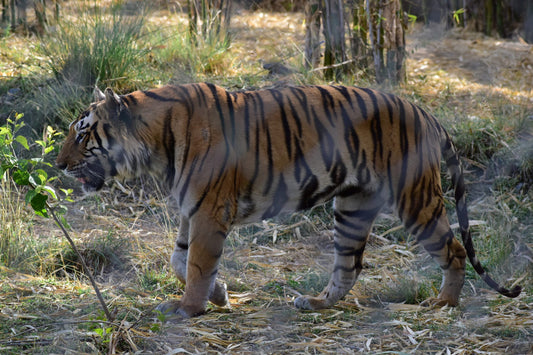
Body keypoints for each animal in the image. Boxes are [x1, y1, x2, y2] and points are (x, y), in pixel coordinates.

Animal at [55, 83, 520, 318]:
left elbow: (197, 263)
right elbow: (180, 260)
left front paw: (188, 307)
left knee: (454, 249)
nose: (58, 164)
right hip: (352, 207)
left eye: (82, 133)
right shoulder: (191, 209)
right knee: (349, 267)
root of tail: (425, 112)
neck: (157, 145)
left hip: (415, 198)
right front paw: (220, 295)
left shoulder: (208, 210)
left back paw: (444, 303)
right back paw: (314, 303)